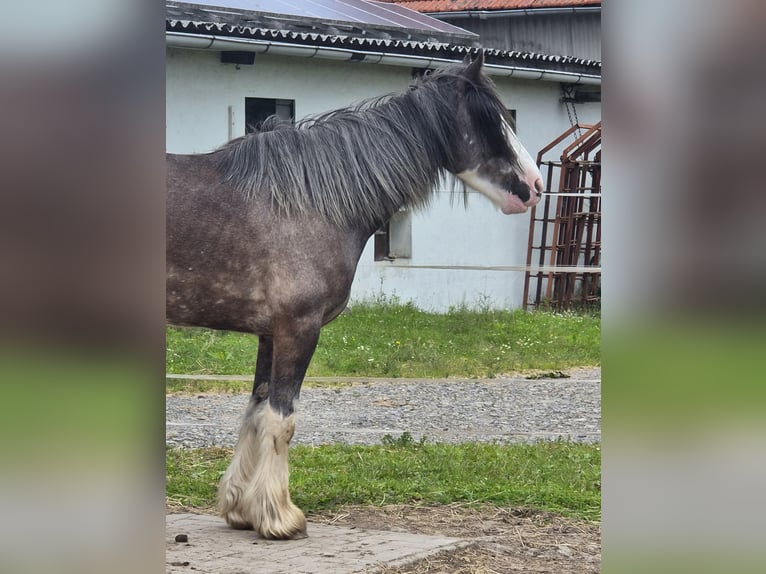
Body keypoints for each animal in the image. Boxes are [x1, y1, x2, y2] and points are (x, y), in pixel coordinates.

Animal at [166, 52, 543, 540]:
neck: (308, 201)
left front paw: (241, 508)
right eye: (491, 121)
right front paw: (279, 517)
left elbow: (255, 411)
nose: (533, 187)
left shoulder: (270, 334)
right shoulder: (298, 329)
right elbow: (281, 419)